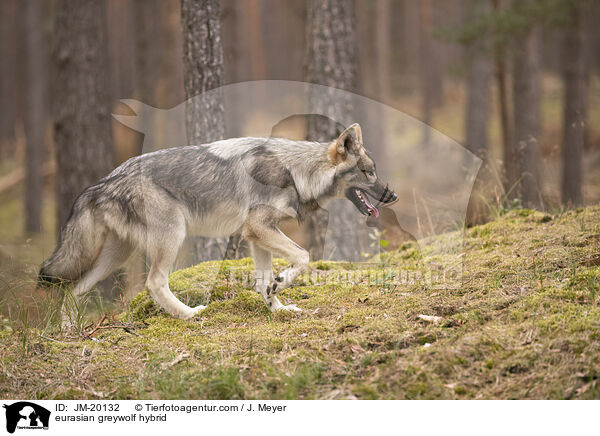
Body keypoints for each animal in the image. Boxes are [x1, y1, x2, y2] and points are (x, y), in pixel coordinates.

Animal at [36, 123, 394, 320]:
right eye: (368, 172)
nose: (392, 196)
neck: (295, 171)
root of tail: (100, 184)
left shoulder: (256, 237)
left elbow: (263, 282)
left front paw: (277, 308)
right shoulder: (259, 229)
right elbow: (303, 257)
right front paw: (283, 282)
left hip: (114, 256)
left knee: (74, 291)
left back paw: (67, 332)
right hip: (172, 236)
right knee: (154, 283)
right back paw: (190, 315)